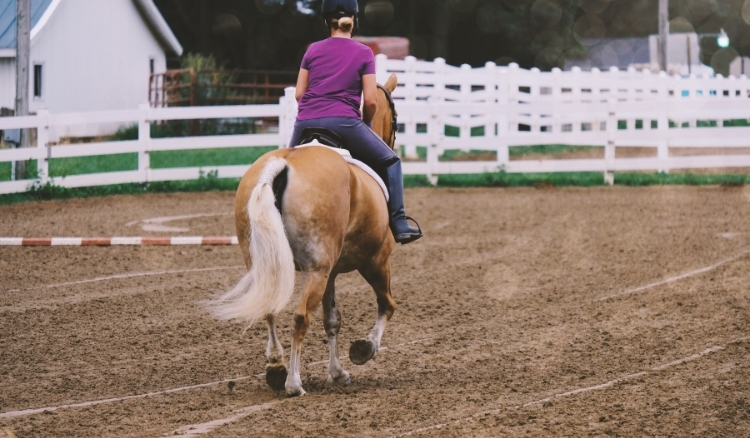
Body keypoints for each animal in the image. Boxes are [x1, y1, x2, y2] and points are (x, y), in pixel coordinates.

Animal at [212, 72, 408, 396]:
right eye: (396, 119)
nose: (393, 140)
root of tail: (282, 165)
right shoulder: (377, 260)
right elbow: (387, 305)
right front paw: (364, 349)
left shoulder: (332, 271)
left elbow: (332, 320)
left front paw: (337, 372)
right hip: (320, 268)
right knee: (301, 315)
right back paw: (293, 382)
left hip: (270, 263)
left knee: (270, 307)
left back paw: (276, 367)